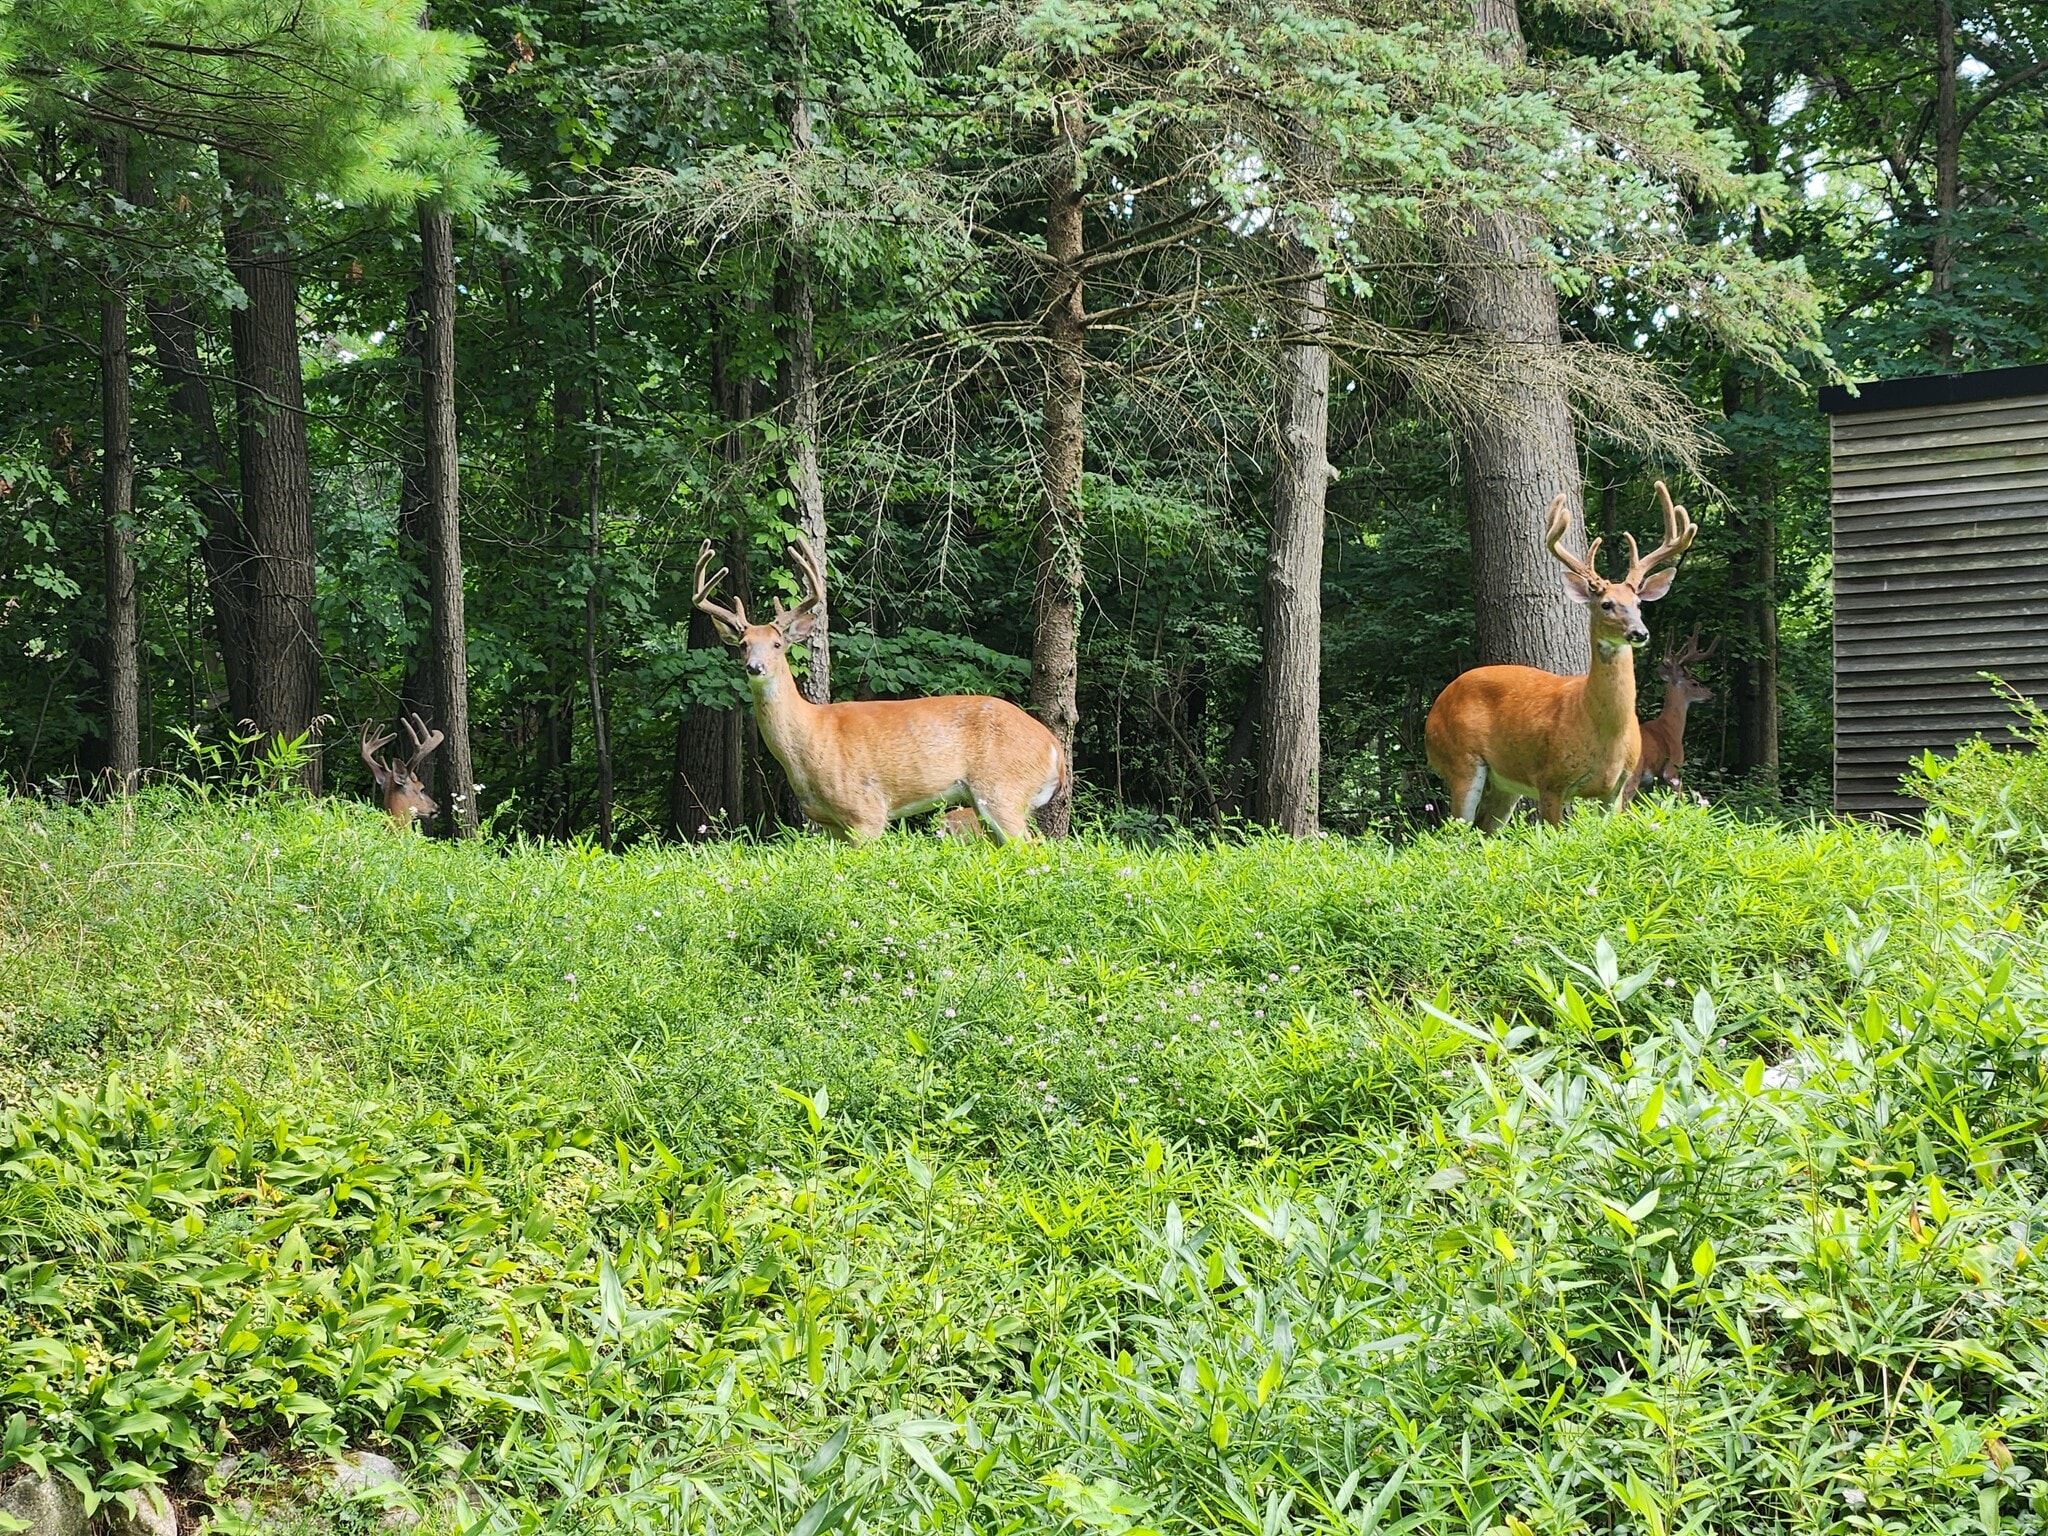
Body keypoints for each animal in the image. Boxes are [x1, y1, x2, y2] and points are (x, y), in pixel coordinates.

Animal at [692, 540, 1073, 847]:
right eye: (743, 644)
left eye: (776, 644)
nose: (755, 667)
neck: (807, 739)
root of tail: (1054, 749)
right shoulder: (829, 823)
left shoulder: (866, 810)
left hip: (1002, 788)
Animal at [1425, 487, 1695, 835]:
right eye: (1606, 604)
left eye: (1638, 603)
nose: (1639, 632)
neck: (1603, 732)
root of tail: (1433, 712)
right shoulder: (1551, 780)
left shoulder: (1616, 789)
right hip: (1460, 761)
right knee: (1453, 832)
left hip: (1505, 783)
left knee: (1485, 829)